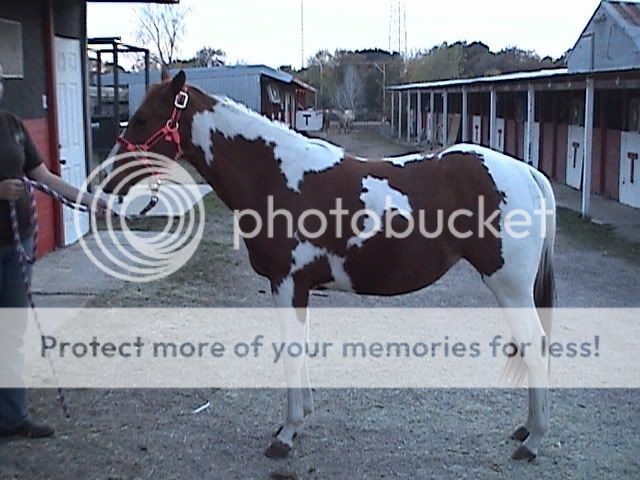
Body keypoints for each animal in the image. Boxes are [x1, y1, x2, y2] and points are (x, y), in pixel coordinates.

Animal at [105, 69, 556, 464]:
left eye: (142, 117)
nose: (107, 180)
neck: (276, 177)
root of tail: (526, 173)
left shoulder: (287, 283)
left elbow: (290, 351)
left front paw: (286, 435)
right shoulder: (296, 287)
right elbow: (299, 348)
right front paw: (299, 419)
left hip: (510, 287)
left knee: (535, 346)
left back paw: (533, 440)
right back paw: (525, 430)